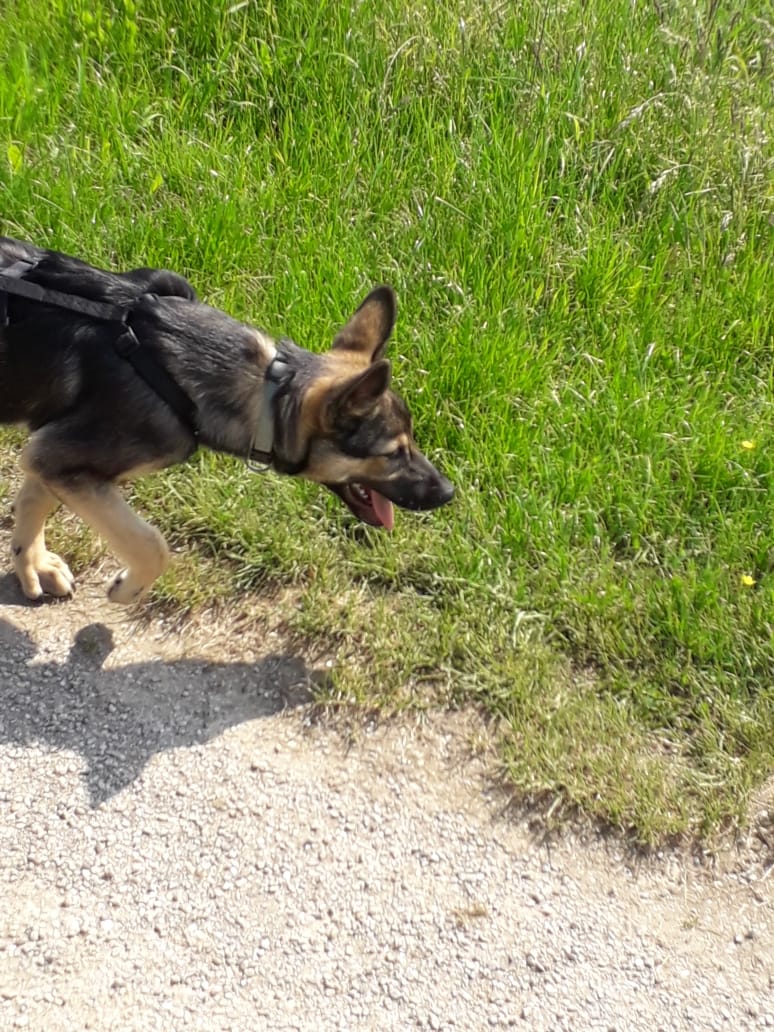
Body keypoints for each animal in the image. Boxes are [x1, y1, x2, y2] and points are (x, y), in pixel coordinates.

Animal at [0, 237, 453, 604]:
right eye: (392, 453)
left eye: (413, 440)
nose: (449, 492)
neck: (266, 392)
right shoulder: (65, 456)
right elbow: (152, 545)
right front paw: (126, 589)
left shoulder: (54, 453)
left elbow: (35, 498)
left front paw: (31, 563)